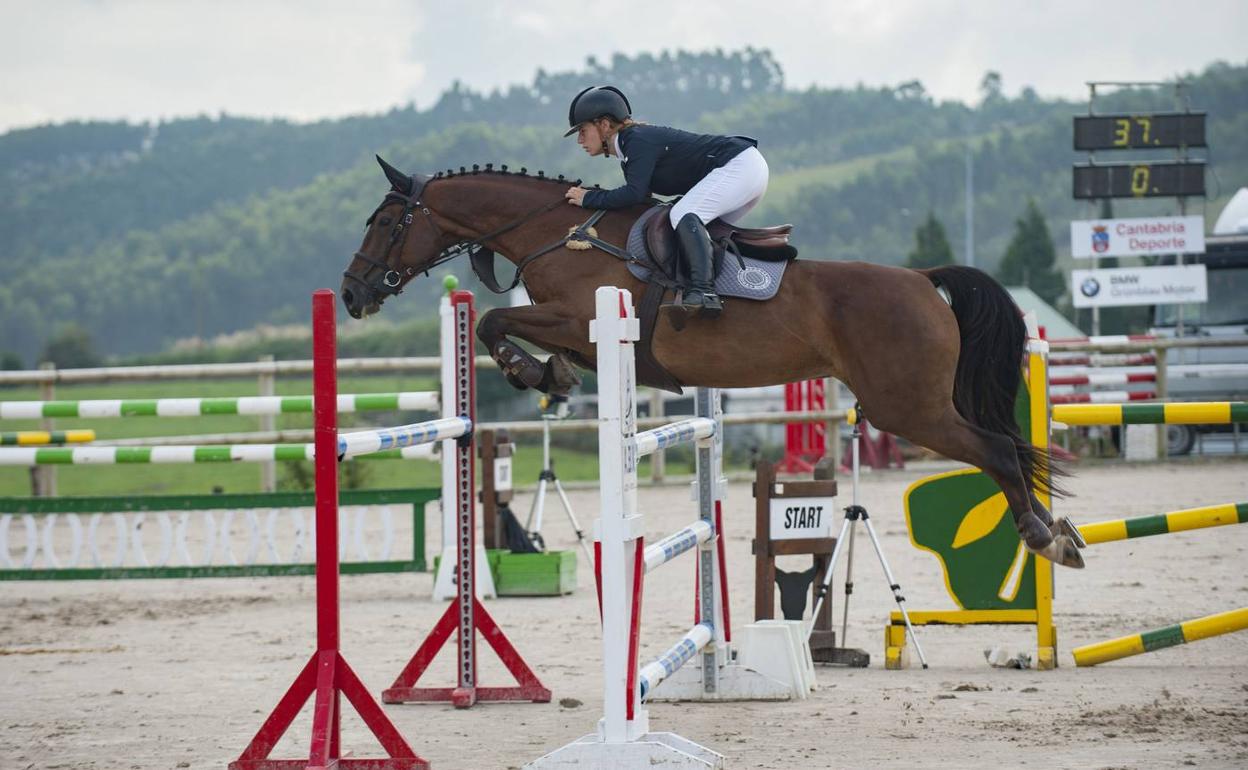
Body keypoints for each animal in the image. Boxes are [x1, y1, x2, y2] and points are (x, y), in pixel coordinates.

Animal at [341, 155, 1083, 566]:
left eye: (382, 222)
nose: (351, 294)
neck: (563, 233)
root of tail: (923, 280)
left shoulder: (580, 318)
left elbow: (496, 319)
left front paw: (530, 371)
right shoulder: (584, 336)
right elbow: (520, 334)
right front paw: (548, 375)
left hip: (909, 407)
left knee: (997, 449)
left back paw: (1046, 536)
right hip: (914, 403)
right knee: (1001, 449)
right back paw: (1059, 533)